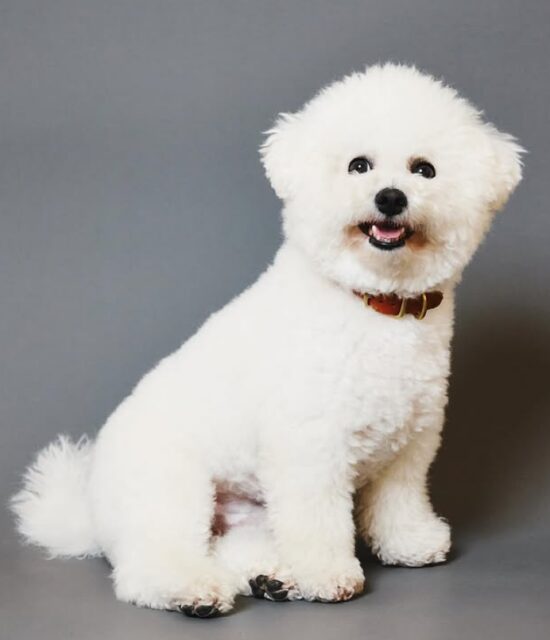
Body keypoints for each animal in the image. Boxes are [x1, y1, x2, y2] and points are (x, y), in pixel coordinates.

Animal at [12, 63, 523, 617]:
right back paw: (195, 590)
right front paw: (327, 575)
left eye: (424, 170)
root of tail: (87, 507)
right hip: (171, 491)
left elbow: (399, 500)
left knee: (232, 548)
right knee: (149, 564)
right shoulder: (311, 449)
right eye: (358, 166)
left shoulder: (410, 443)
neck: (374, 304)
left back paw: (272, 577)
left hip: (251, 514)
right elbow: (318, 521)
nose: (390, 197)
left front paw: (409, 542)